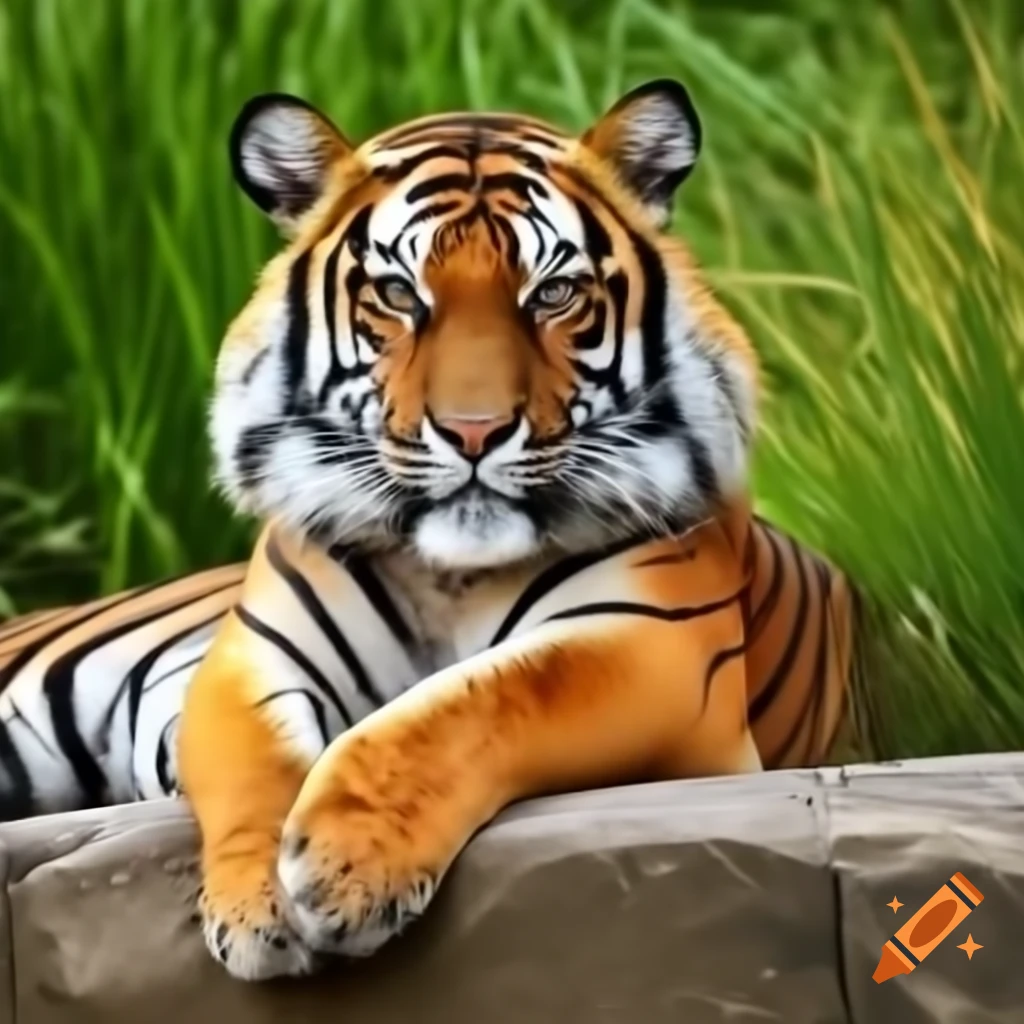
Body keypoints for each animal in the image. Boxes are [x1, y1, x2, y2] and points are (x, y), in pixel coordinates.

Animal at [0, 79, 868, 982]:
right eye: (398, 294)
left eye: (552, 295)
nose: (474, 432)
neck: (448, 573)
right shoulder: (253, 660)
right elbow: (259, 765)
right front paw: (258, 908)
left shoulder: (651, 645)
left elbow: (465, 706)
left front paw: (345, 869)